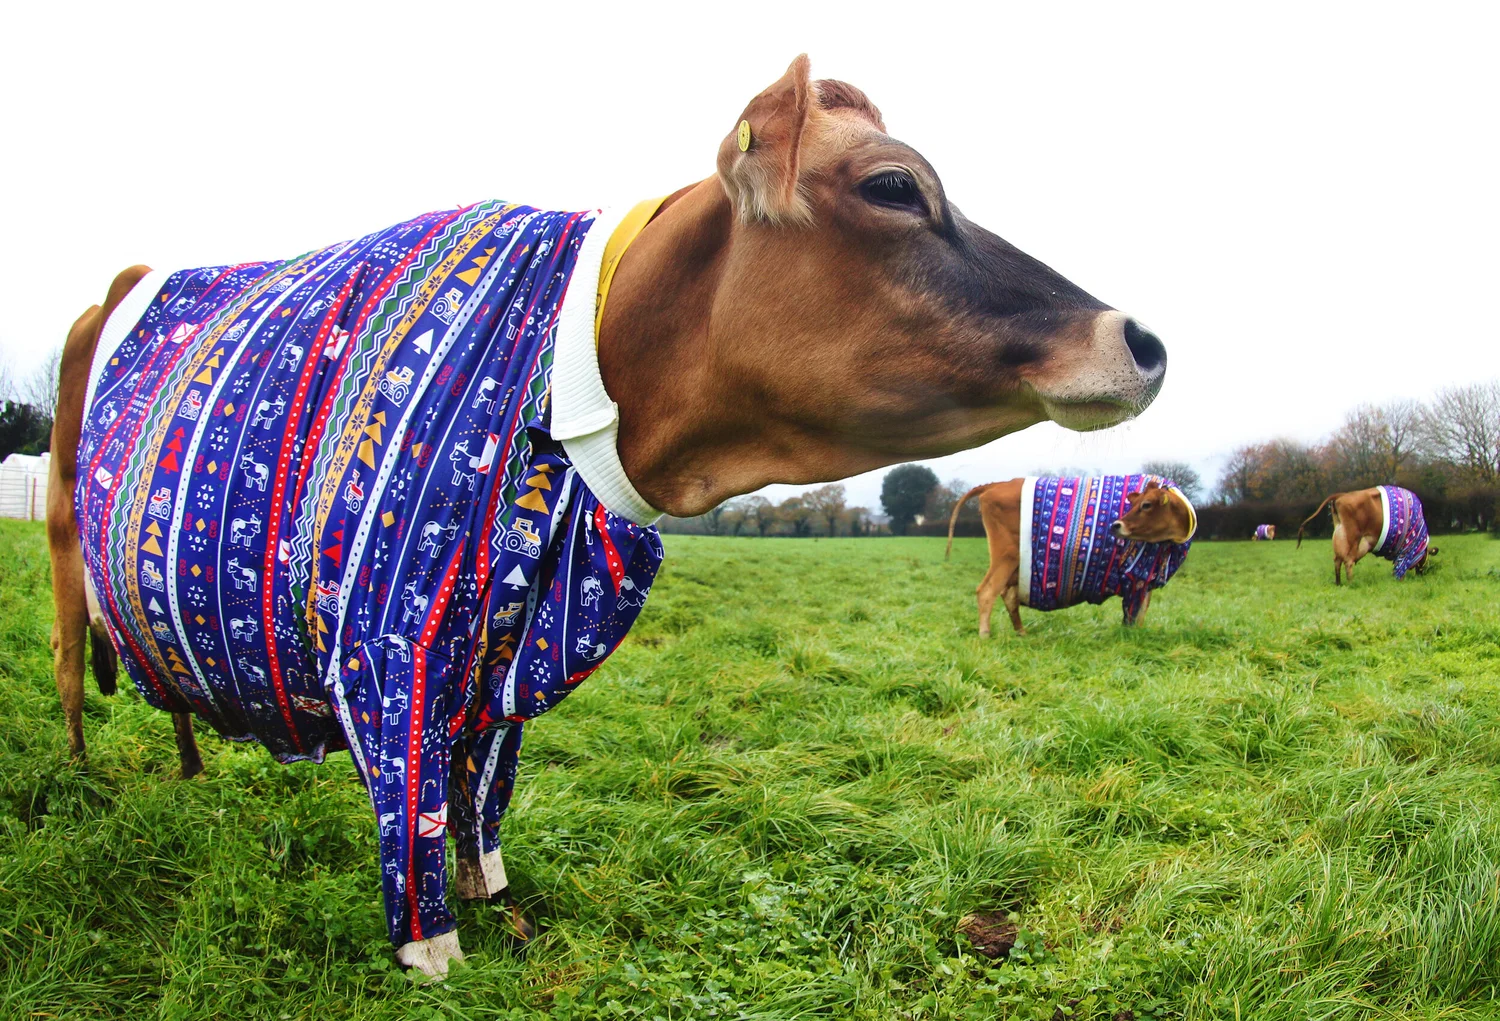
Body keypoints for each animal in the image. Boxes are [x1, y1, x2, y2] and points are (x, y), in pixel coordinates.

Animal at [46, 57, 1168, 976]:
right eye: (895, 187)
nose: (1143, 340)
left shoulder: (504, 653)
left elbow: (484, 789)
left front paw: (502, 900)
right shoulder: (388, 642)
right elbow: (416, 804)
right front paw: (435, 951)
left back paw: (190, 773)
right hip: (63, 548)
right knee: (65, 664)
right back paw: (80, 788)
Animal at [946, 475, 1195, 636]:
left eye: (1146, 504)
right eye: (1138, 503)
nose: (1116, 525)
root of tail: (997, 484)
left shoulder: (1147, 580)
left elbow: (1141, 612)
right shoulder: (1136, 576)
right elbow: (1133, 614)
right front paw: (1131, 639)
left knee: (1008, 596)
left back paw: (1022, 634)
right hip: (1006, 556)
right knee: (987, 591)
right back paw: (985, 635)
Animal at [1296, 486, 1436, 583]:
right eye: (1427, 556)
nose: (1422, 573)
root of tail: (1342, 495)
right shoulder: (1405, 549)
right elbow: (1401, 565)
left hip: (1340, 533)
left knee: (1337, 560)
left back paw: (1338, 583)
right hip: (1353, 536)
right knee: (1348, 560)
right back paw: (1351, 583)